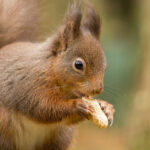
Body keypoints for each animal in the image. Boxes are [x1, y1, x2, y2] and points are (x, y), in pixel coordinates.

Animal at [0, 0, 113, 150]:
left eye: (105, 67)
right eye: (78, 65)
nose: (97, 89)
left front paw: (105, 107)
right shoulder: (30, 85)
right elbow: (41, 107)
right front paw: (76, 105)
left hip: (60, 137)